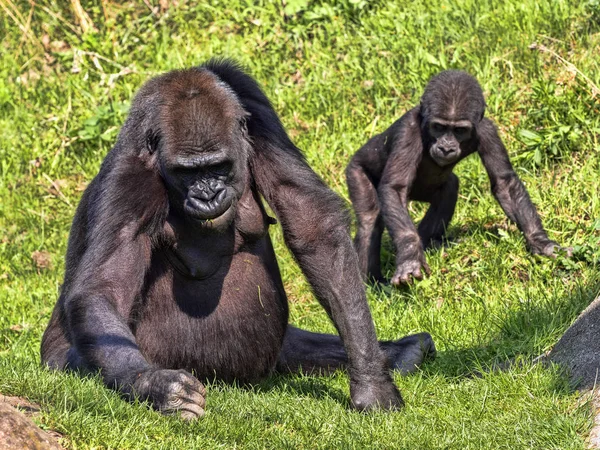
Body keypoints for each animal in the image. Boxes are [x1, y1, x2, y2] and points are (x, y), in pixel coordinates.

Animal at [42, 59, 436, 418]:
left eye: (218, 166)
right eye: (188, 173)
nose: (208, 194)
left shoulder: (253, 106)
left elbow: (312, 224)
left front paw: (371, 380)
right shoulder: (131, 176)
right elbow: (104, 289)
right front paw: (156, 386)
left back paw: (403, 352)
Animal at [346, 71, 564, 288]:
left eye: (459, 130)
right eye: (438, 127)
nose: (446, 147)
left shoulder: (487, 130)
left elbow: (505, 183)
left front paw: (541, 243)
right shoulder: (408, 130)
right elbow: (395, 188)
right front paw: (410, 257)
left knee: (449, 188)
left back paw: (429, 242)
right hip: (355, 169)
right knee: (370, 219)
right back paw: (372, 282)